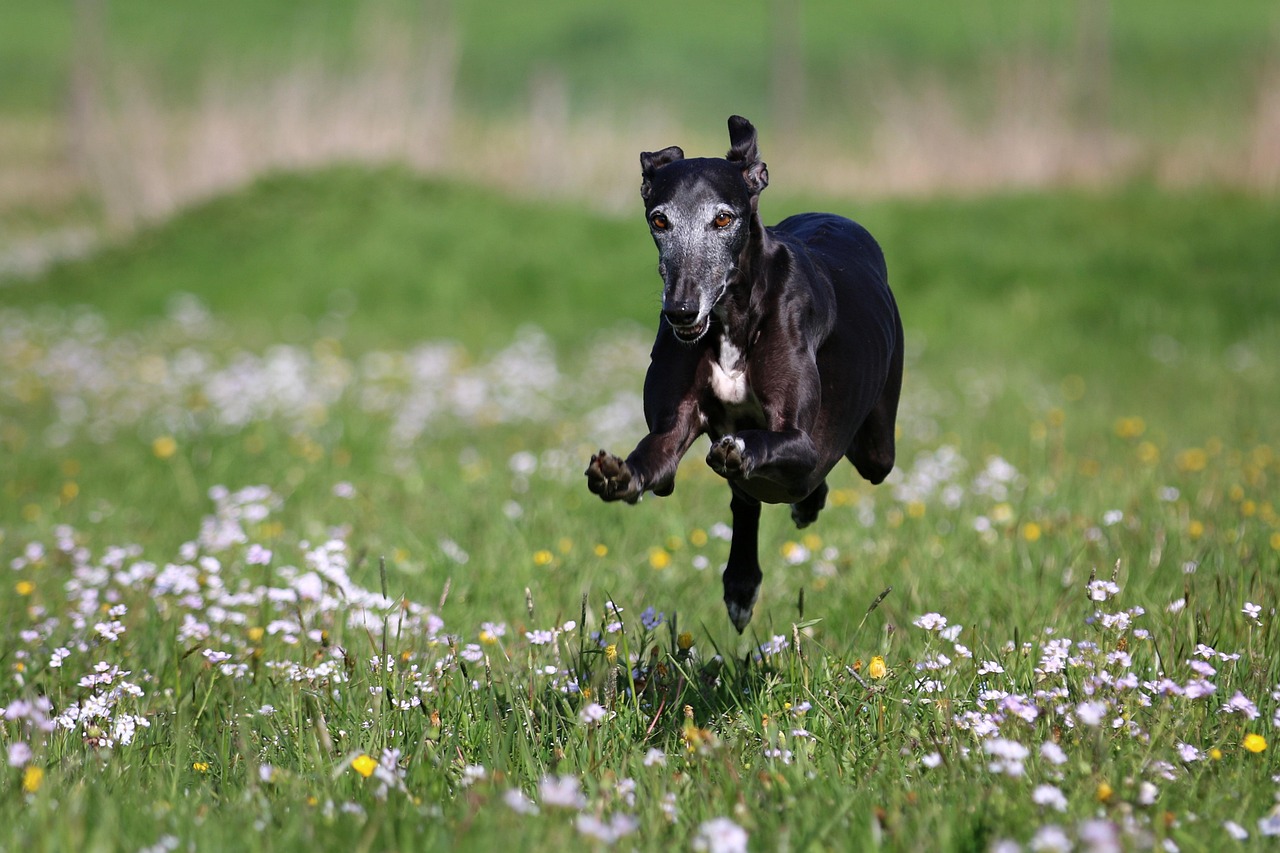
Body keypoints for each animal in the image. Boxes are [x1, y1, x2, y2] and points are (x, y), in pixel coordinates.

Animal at [586, 116, 906, 627]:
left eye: (722, 218)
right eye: (659, 219)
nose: (680, 310)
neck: (731, 319)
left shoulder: (800, 438)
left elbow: (776, 442)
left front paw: (744, 449)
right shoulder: (672, 428)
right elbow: (657, 460)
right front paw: (618, 475)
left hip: (876, 447)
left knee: (831, 469)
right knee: (746, 499)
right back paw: (741, 581)